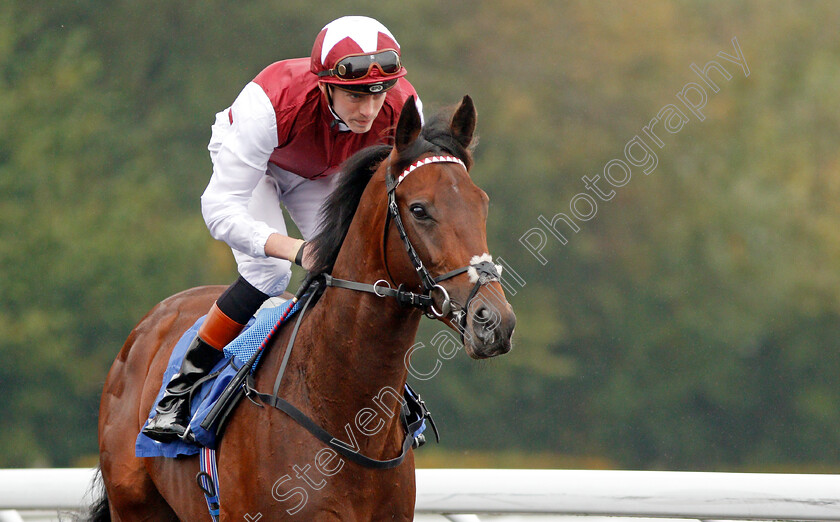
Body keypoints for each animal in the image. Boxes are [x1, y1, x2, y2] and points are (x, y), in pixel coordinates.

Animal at [90, 95, 512, 516]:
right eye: (420, 209)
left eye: (483, 204)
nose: (494, 321)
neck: (347, 418)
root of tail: (149, 324)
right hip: (134, 505)